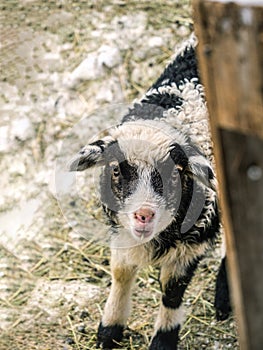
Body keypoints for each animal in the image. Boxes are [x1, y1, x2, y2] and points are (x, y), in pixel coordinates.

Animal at [69, 35, 231, 350]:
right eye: (115, 170)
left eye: (175, 172)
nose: (143, 214)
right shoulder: (121, 232)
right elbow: (120, 273)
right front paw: (110, 329)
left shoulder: (193, 243)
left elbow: (172, 291)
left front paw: (164, 338)